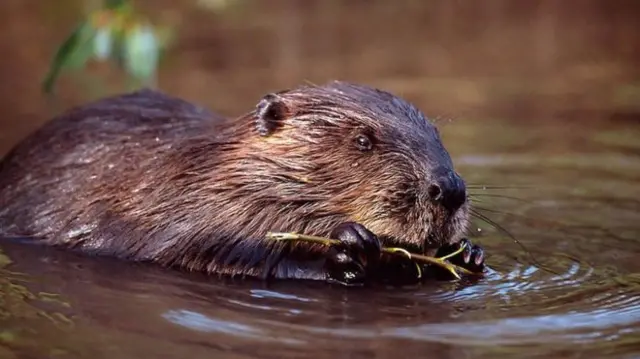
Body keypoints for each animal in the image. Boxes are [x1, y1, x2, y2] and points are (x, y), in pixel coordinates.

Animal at [0, 81, 482, 286]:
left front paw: (468, 253)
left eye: (437, 135)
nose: (450, 190)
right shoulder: (183, 213)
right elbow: (217, 253)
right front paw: (350, 247)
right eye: (363, 140)